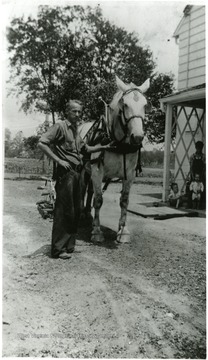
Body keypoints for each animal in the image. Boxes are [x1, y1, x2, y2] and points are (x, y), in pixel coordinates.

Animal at [79, 76, 150, 245]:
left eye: (145, 105)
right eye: (125, 104)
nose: (137, 137)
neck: (118, 143)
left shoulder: (129, 175)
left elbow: (124, 201)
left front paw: (122, 231)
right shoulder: (97, 171)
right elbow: (98, 200)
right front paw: (97, 232)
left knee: (90, 191)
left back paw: (88, 214)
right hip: (85, 170)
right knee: (83, 189)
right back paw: (82, 214)